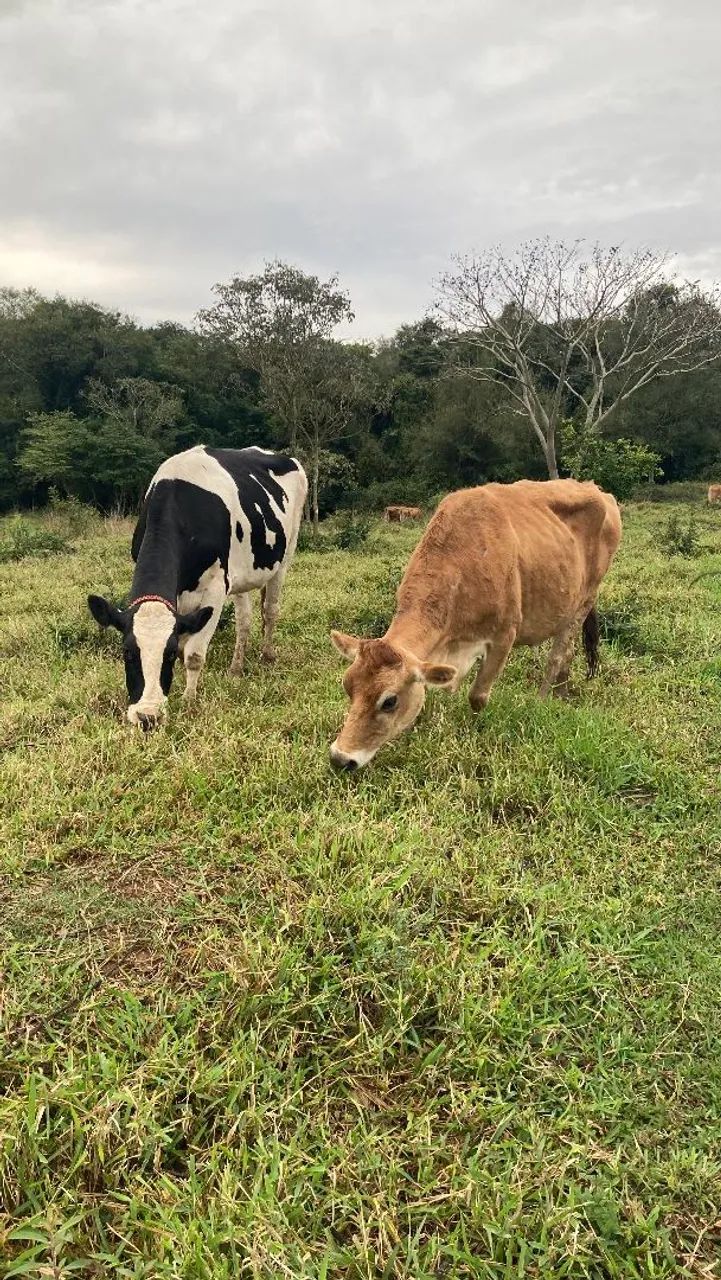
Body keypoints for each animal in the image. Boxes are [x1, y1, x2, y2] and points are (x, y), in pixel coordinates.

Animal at [88, 445, 307, 728]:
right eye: (127, 652)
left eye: (168, 655)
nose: (148, 717)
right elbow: (186, 642)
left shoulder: (215, 588)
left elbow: (193, 654)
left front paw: (189, 700)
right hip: (241, 573)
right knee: (244, 619)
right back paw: (236, 668)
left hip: (286, 553)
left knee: (270, 609)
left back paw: (267, 656)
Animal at [330, 479, 621, 770]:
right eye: (347, 686)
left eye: (389, 701)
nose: (340, 758)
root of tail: (597, 490)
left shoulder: (503, 636)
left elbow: (477, 696)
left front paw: (475, 729)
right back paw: (561, 694)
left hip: (585, 599)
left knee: (559, 655)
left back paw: (541, 700)